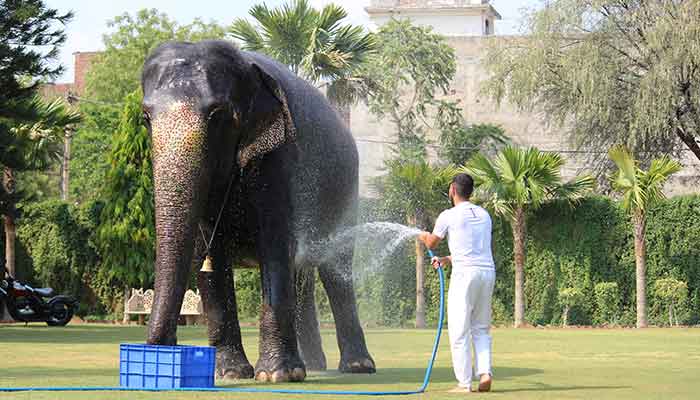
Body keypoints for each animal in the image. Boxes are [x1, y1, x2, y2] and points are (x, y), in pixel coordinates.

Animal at [139, 41, 374, 384]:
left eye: (217, 115)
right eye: (145, 117)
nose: (162, 347)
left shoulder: (279, 157)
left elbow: (274, 246)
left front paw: (278, 375)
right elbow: (210, 258)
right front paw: (230, 373)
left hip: (344, 192)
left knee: (335, 270)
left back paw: (357, 367)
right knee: (302, 276)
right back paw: (315, 364)